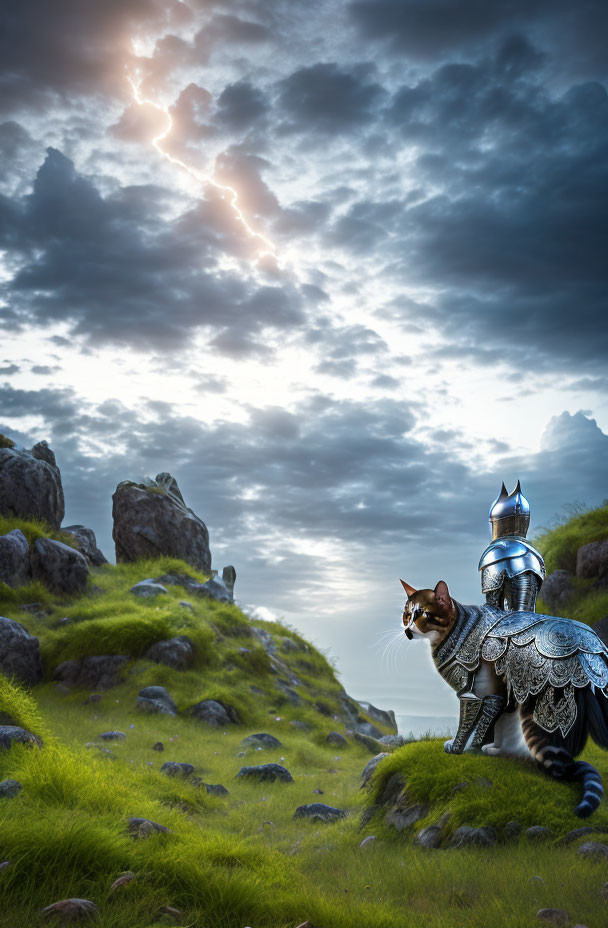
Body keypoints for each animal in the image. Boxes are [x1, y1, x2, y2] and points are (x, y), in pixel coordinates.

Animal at [400, 580, 608, 820]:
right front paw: (481, 747)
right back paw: (497, 750)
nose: (407, 630)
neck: (456, 630)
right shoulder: (498, 694)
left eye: (422, 614)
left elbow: (468, 725)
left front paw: (460, 748)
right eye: (406, 614)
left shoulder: (472, 694)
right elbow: (488, 722)